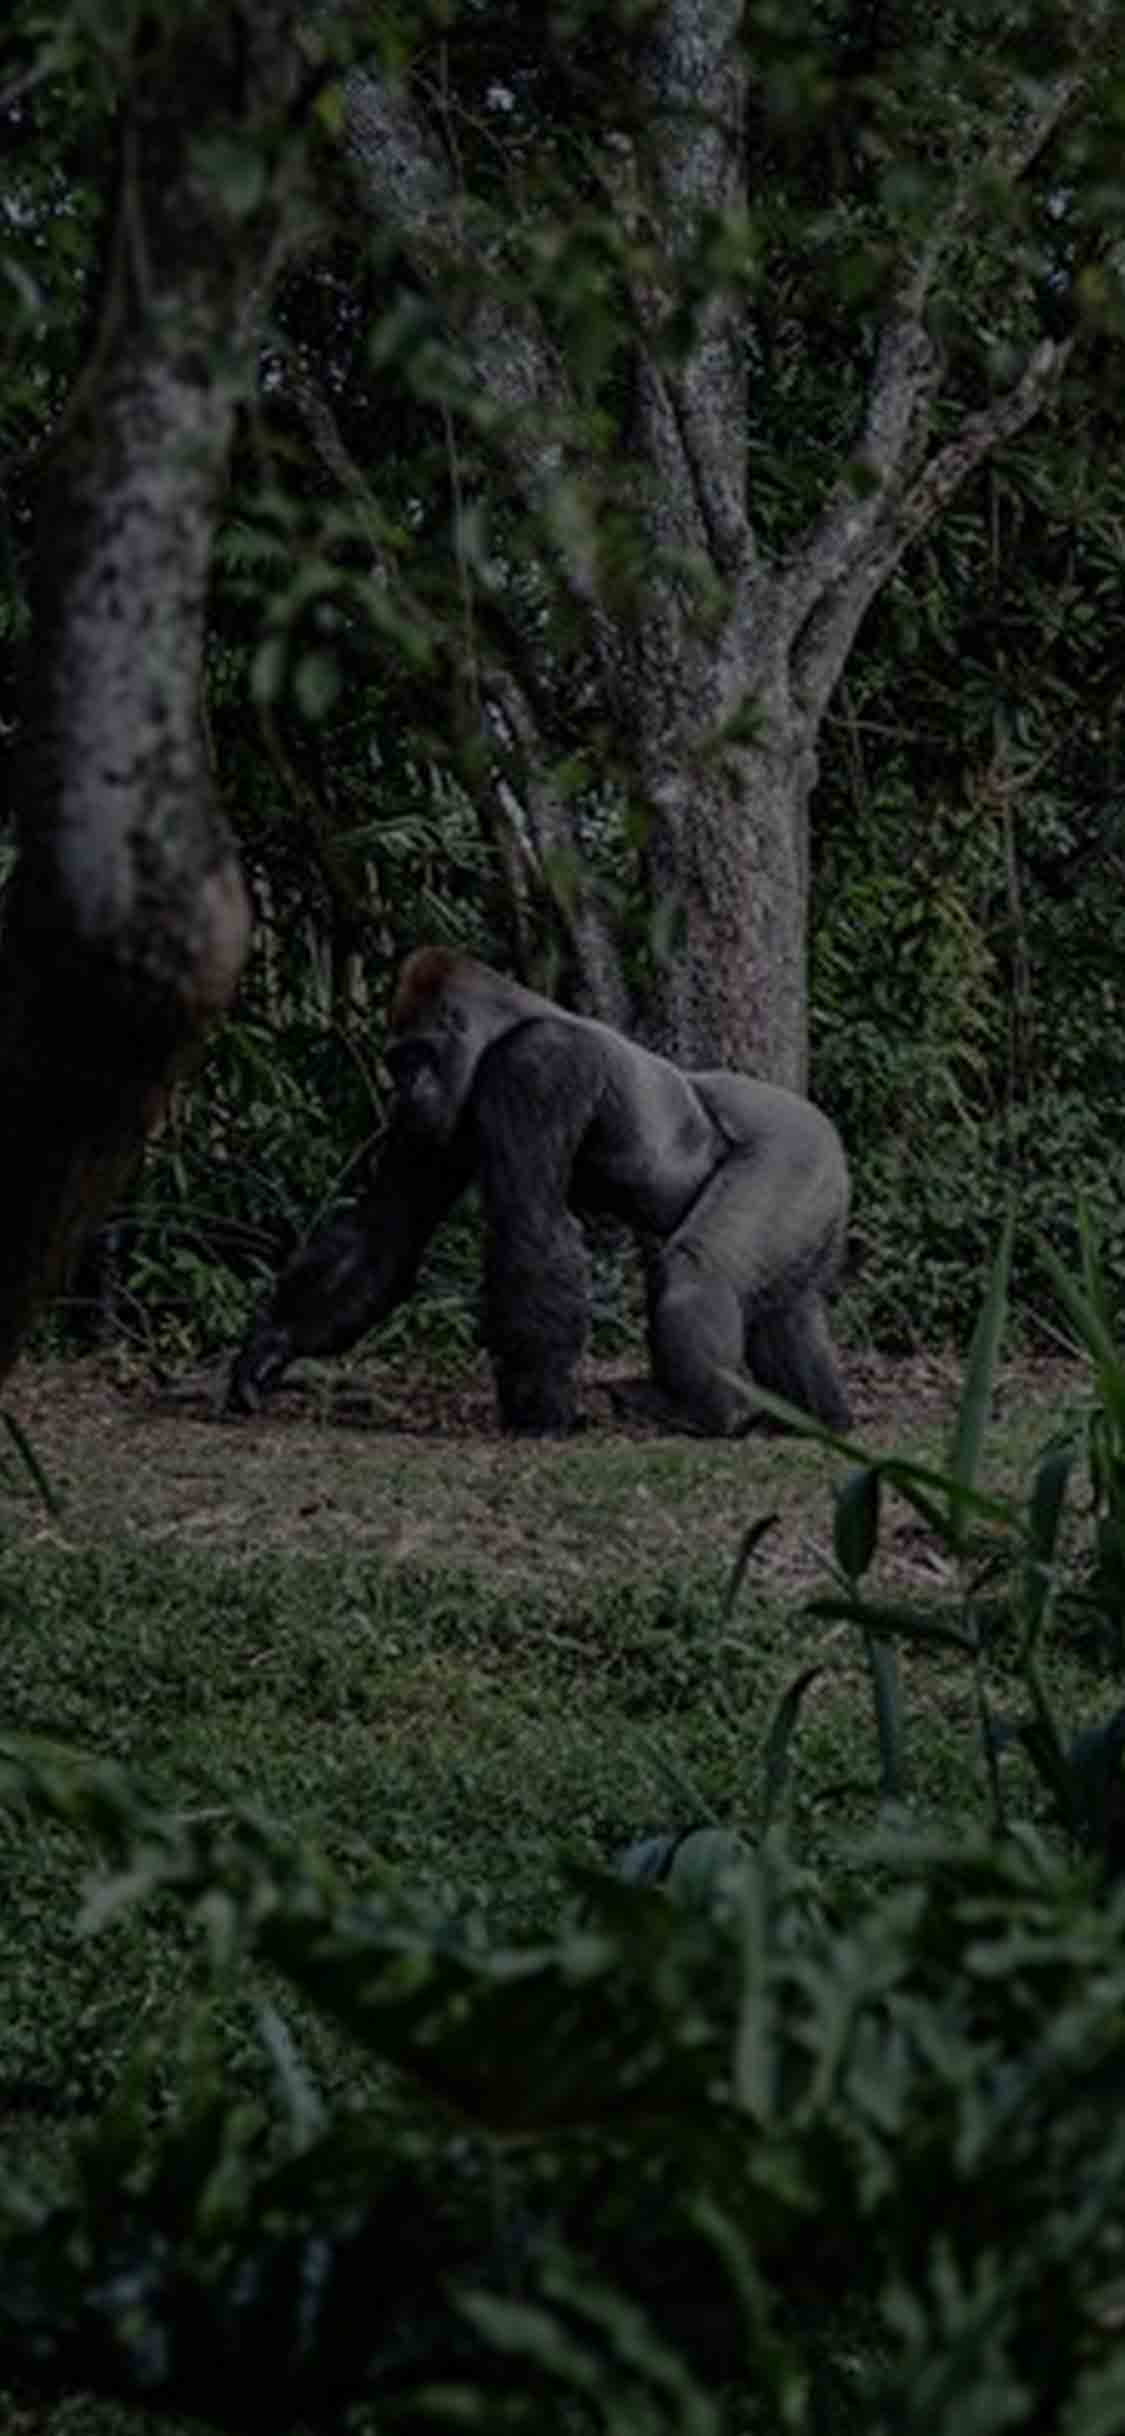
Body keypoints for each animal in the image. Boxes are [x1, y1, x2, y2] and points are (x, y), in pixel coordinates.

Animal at [227, 946, 852, 1438]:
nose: (402, 1091)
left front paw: (540, 1411)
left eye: (418, 1055)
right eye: (396, 1061)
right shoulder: (430, 1121)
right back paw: (816, 1416)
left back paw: (710, 1413)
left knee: (695, 1269)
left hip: (794, 1148)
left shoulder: (535, 1065)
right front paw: (271, 1345)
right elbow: (385, 1233)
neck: (504, 1021)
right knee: (785, 1307)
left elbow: (528, 1224)